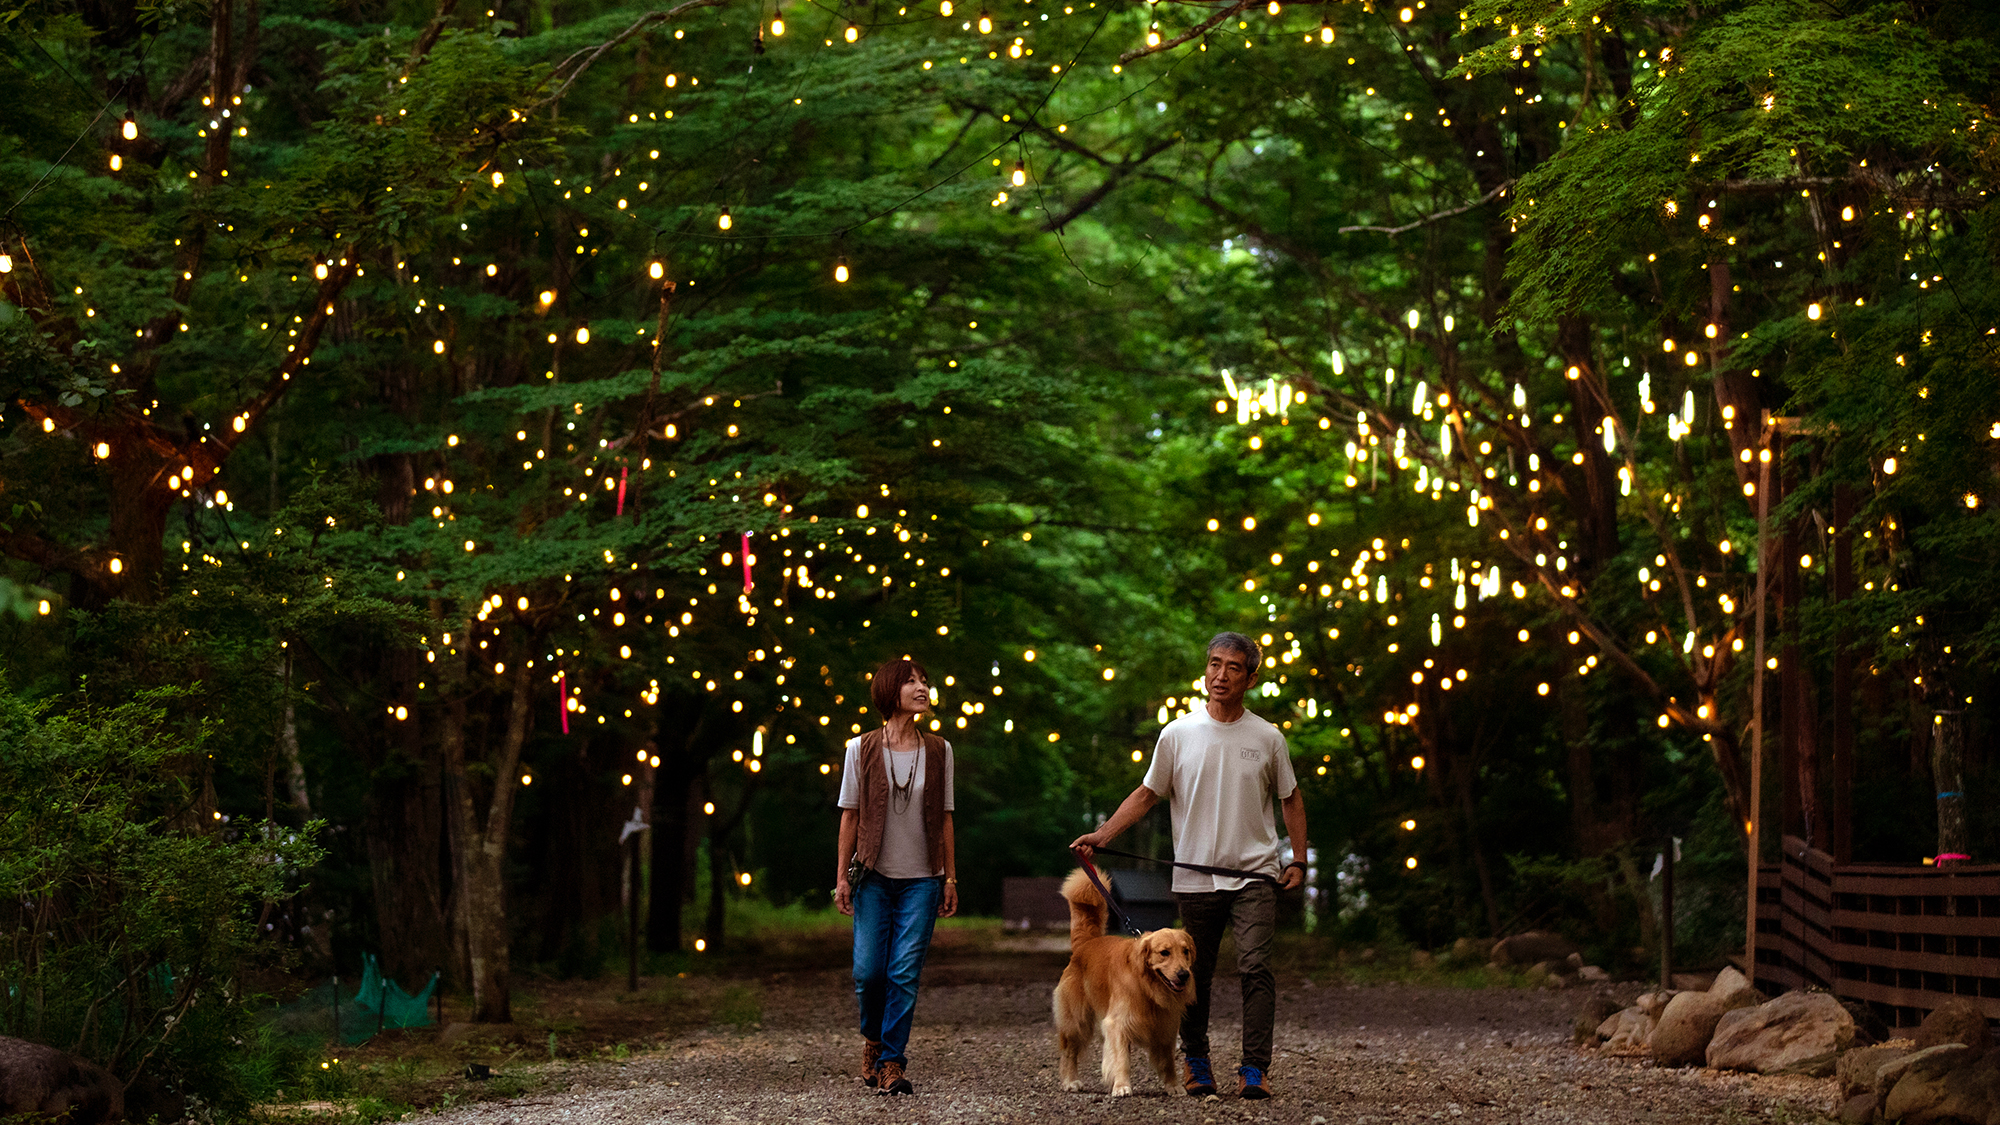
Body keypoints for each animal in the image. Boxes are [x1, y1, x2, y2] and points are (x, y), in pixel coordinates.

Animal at [1056, 860, 1192, 1088]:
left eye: (1186, 951)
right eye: (1164, 953)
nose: (1184, 975)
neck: (1147, 987)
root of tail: (1086, 943)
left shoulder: (1166, 1027)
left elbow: (1167, 1060)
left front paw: (1173, 1086)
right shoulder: (1117, 1023)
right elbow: (1121, 1059)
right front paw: (1121, 1087)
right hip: (1076, 1020)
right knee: (1069, 1052)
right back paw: (1070, 1081)